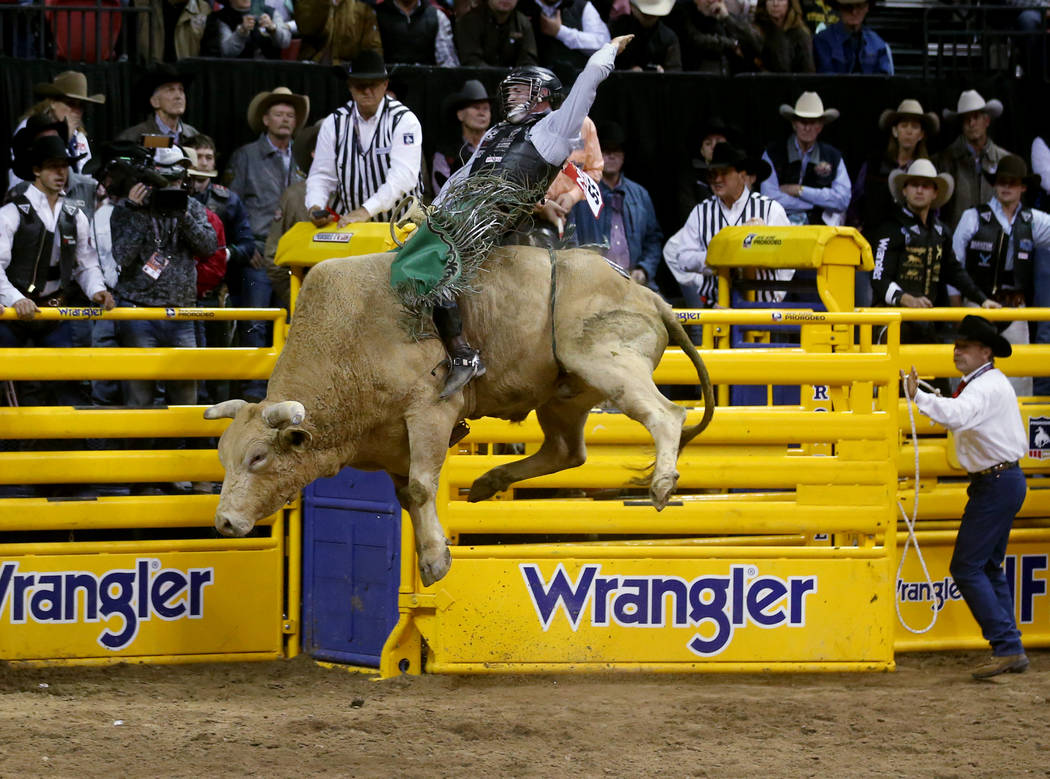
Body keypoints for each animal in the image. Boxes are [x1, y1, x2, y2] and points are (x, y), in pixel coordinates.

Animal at [204, 245, 713, 587]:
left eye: (257, 458)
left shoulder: (430, 412)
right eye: (223, 458)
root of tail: (645, 294)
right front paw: (431, 552)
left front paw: (434, 563)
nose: (224, 522)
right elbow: (408, 494)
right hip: (564, 394)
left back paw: (662, 483)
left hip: (605, 361)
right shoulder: (391, 442)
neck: (347, 342)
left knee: (666, 414)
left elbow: (421, 486)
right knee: (567, 451)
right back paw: (489, 481)